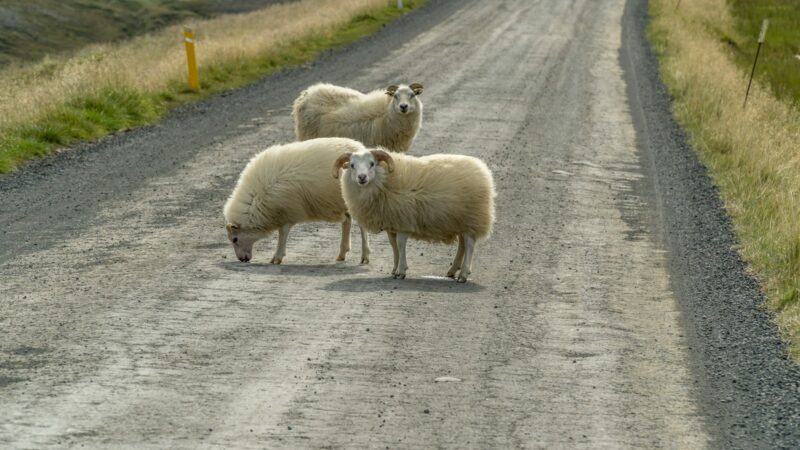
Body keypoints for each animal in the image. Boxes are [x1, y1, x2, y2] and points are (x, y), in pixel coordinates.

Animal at [224, 137, 371, 264]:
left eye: (235, 239)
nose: (242, 259)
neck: (256, 198)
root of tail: (360, 147)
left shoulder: (288, 209)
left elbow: (283, 233)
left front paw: (277, 257)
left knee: (360, 225)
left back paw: (365, 256)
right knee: (347, 221)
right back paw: (342, 253)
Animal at [333, 149, 495, 282]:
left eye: (372, 163)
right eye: (352, 165)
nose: (362, 177)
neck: (384, 181)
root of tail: (482, 170)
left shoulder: (403, 220)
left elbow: (400, 244)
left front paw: (401, 271)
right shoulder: (392, 223)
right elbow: (394, 246)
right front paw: (394, 269)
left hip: (473, 217)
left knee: (469, 244)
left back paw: (463, 274)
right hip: (459, 219)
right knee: (462, 244)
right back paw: (452, 270)